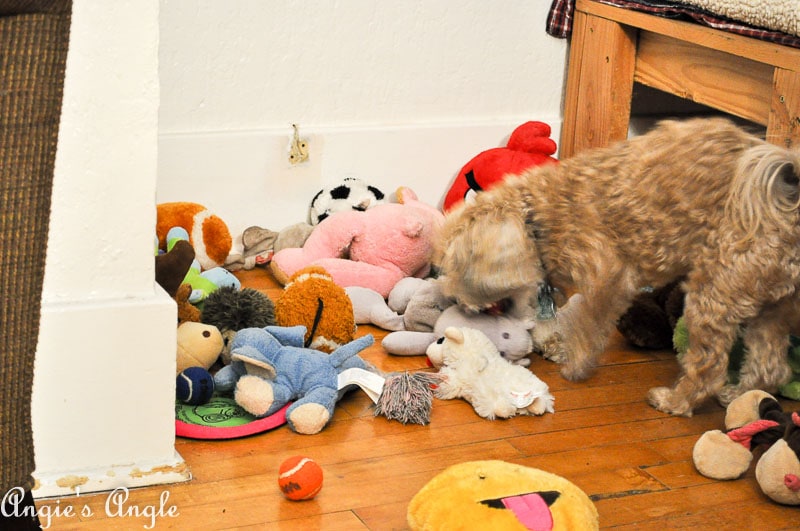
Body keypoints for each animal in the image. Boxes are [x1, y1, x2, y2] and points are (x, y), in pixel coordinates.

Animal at [434, 118, 800, 418]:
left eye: (452, 269)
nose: (457, 303)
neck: (539, 215)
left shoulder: (608, 280)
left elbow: (587, 326)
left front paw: (575, 364)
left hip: (715, 296)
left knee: (708, 368)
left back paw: (675, 401)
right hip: (773, 304)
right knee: (770, 367)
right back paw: (739, 396)